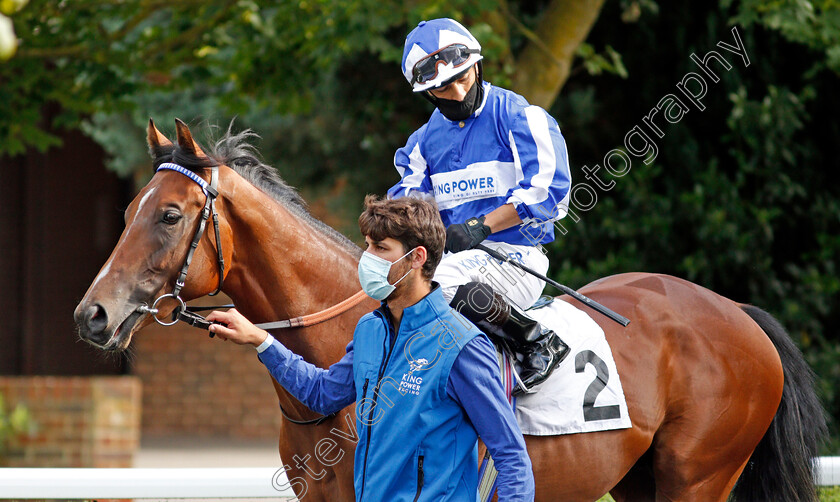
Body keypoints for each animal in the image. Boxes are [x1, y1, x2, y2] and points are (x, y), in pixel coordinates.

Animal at [75, 119, 824, 500]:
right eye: (128, 209)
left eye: (171, 216)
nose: (92, 316)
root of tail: (736, 313)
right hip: (642, 481)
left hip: (699, 476)